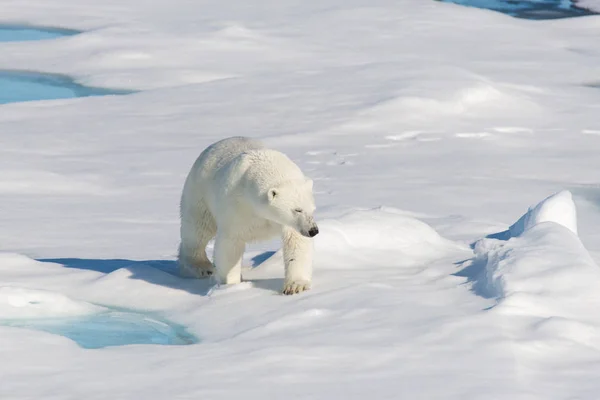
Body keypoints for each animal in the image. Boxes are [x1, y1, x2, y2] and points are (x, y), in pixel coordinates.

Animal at [178, 136, 318, 296]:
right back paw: (201, 267)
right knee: (198, 229)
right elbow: (230, 243)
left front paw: (296, 286)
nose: (313, 230)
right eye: (297, 209)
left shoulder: (290, 224)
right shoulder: (236, 206)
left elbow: (296, 241)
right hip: (199, 193)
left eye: (312, 209)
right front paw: (231, 285)